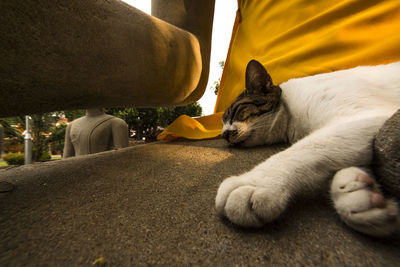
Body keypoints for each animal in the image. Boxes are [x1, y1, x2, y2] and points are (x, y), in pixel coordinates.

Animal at [216, 59, 400, 237]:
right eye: (222, 125)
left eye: (235, 112)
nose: (224, 134)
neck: (290, 120)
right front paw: (359, 194)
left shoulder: (367, 116)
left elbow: (306, 148)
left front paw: (254, 184)